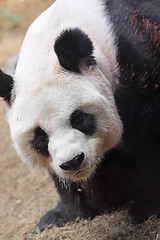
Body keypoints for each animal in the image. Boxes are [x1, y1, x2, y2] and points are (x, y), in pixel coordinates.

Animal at [0, 0, 160, 233]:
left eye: (78, 118)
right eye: (40, 136)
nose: (72, 162)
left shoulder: (137, 66)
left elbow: (150, 135)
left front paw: (146, 205)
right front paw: (63, 215)